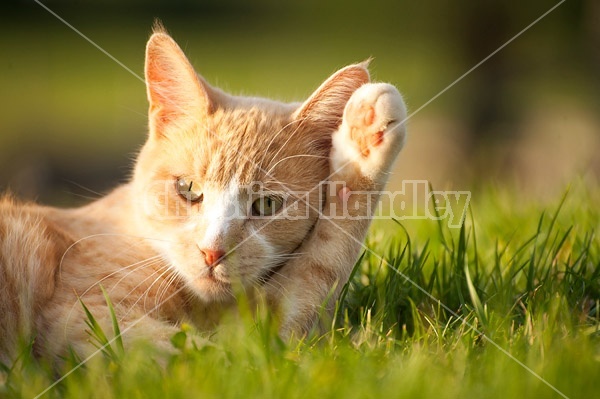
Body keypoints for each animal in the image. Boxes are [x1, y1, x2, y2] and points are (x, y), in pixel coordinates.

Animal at [0, 25, 408, 366]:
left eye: (267, 205)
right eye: (188, 189)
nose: (212, 251)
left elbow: (314, 273)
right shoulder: (81, 318)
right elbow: (222, 358)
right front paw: (366, 136)